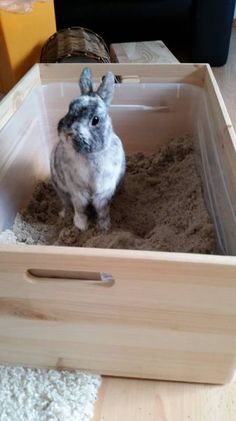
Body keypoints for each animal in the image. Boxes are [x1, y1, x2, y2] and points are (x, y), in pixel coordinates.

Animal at [50, 66, 126, 230]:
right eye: (69, 108)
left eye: (95, 120)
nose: (67, 133)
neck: (91, 154)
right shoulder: (77, 192)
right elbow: (80, 209)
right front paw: (81, 227)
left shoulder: (104, 193)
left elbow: (102, 211)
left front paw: (104, 227)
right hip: (60, 189)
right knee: (66, 204)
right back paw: (63, 215)